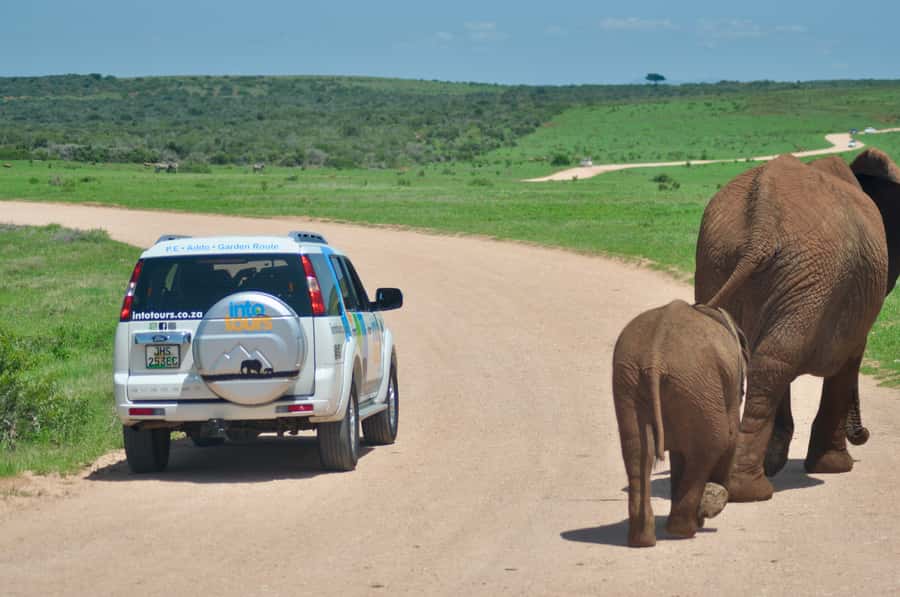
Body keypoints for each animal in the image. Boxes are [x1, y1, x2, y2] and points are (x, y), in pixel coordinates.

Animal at [612, 299, 748, 547]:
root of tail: (654, 358)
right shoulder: (728, 386)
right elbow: (732, 436)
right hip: (697, 385)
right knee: (711, 447)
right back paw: (682, 531)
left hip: (630, 382)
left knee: (637, 453)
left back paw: (642, 540)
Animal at [695, 148, 900, 502]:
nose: (864, 434)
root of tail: (760, 227)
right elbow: (848, 361)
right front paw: (834, 467)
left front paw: (776, 460)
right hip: (810, 274)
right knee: (775, 363)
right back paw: (750, 489)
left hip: (721, 257)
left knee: (764, 359)